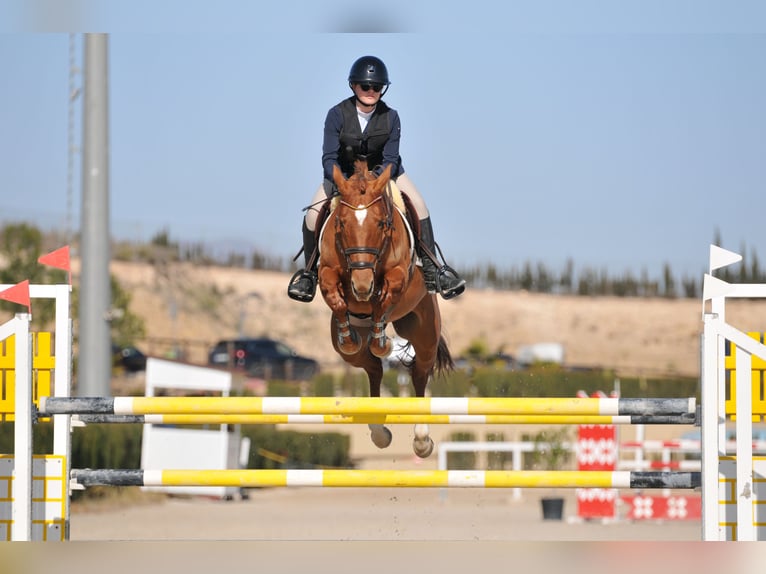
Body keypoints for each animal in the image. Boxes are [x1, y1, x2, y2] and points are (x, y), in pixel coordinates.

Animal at [320, 160, 456, 462]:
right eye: (341, 223)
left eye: (381, 223)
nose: (361, 286)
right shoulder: (327, 271)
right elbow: (333, 294)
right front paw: (351, 333)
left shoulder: (397, 276)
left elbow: (385, 299)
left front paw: (382, 339)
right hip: (351, 355)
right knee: (373, 369)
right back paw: (379, 431)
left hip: (425, 334)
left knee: (419, 373)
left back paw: (422, 439)